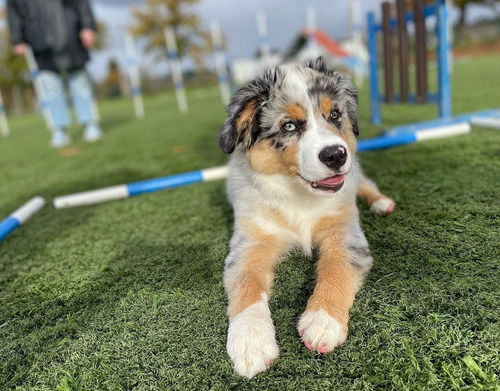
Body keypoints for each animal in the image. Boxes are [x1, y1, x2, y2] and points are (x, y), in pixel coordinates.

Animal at [219, 56, 394, 378]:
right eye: (289, 125)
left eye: (335, 114)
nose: (335, 155)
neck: (298, 195)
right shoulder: (250, 241)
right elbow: (247, 283)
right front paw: (250, 342)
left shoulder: (345, 230)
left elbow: (337, 267)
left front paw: (322, 321)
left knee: (366, 183)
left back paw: (382, 203)